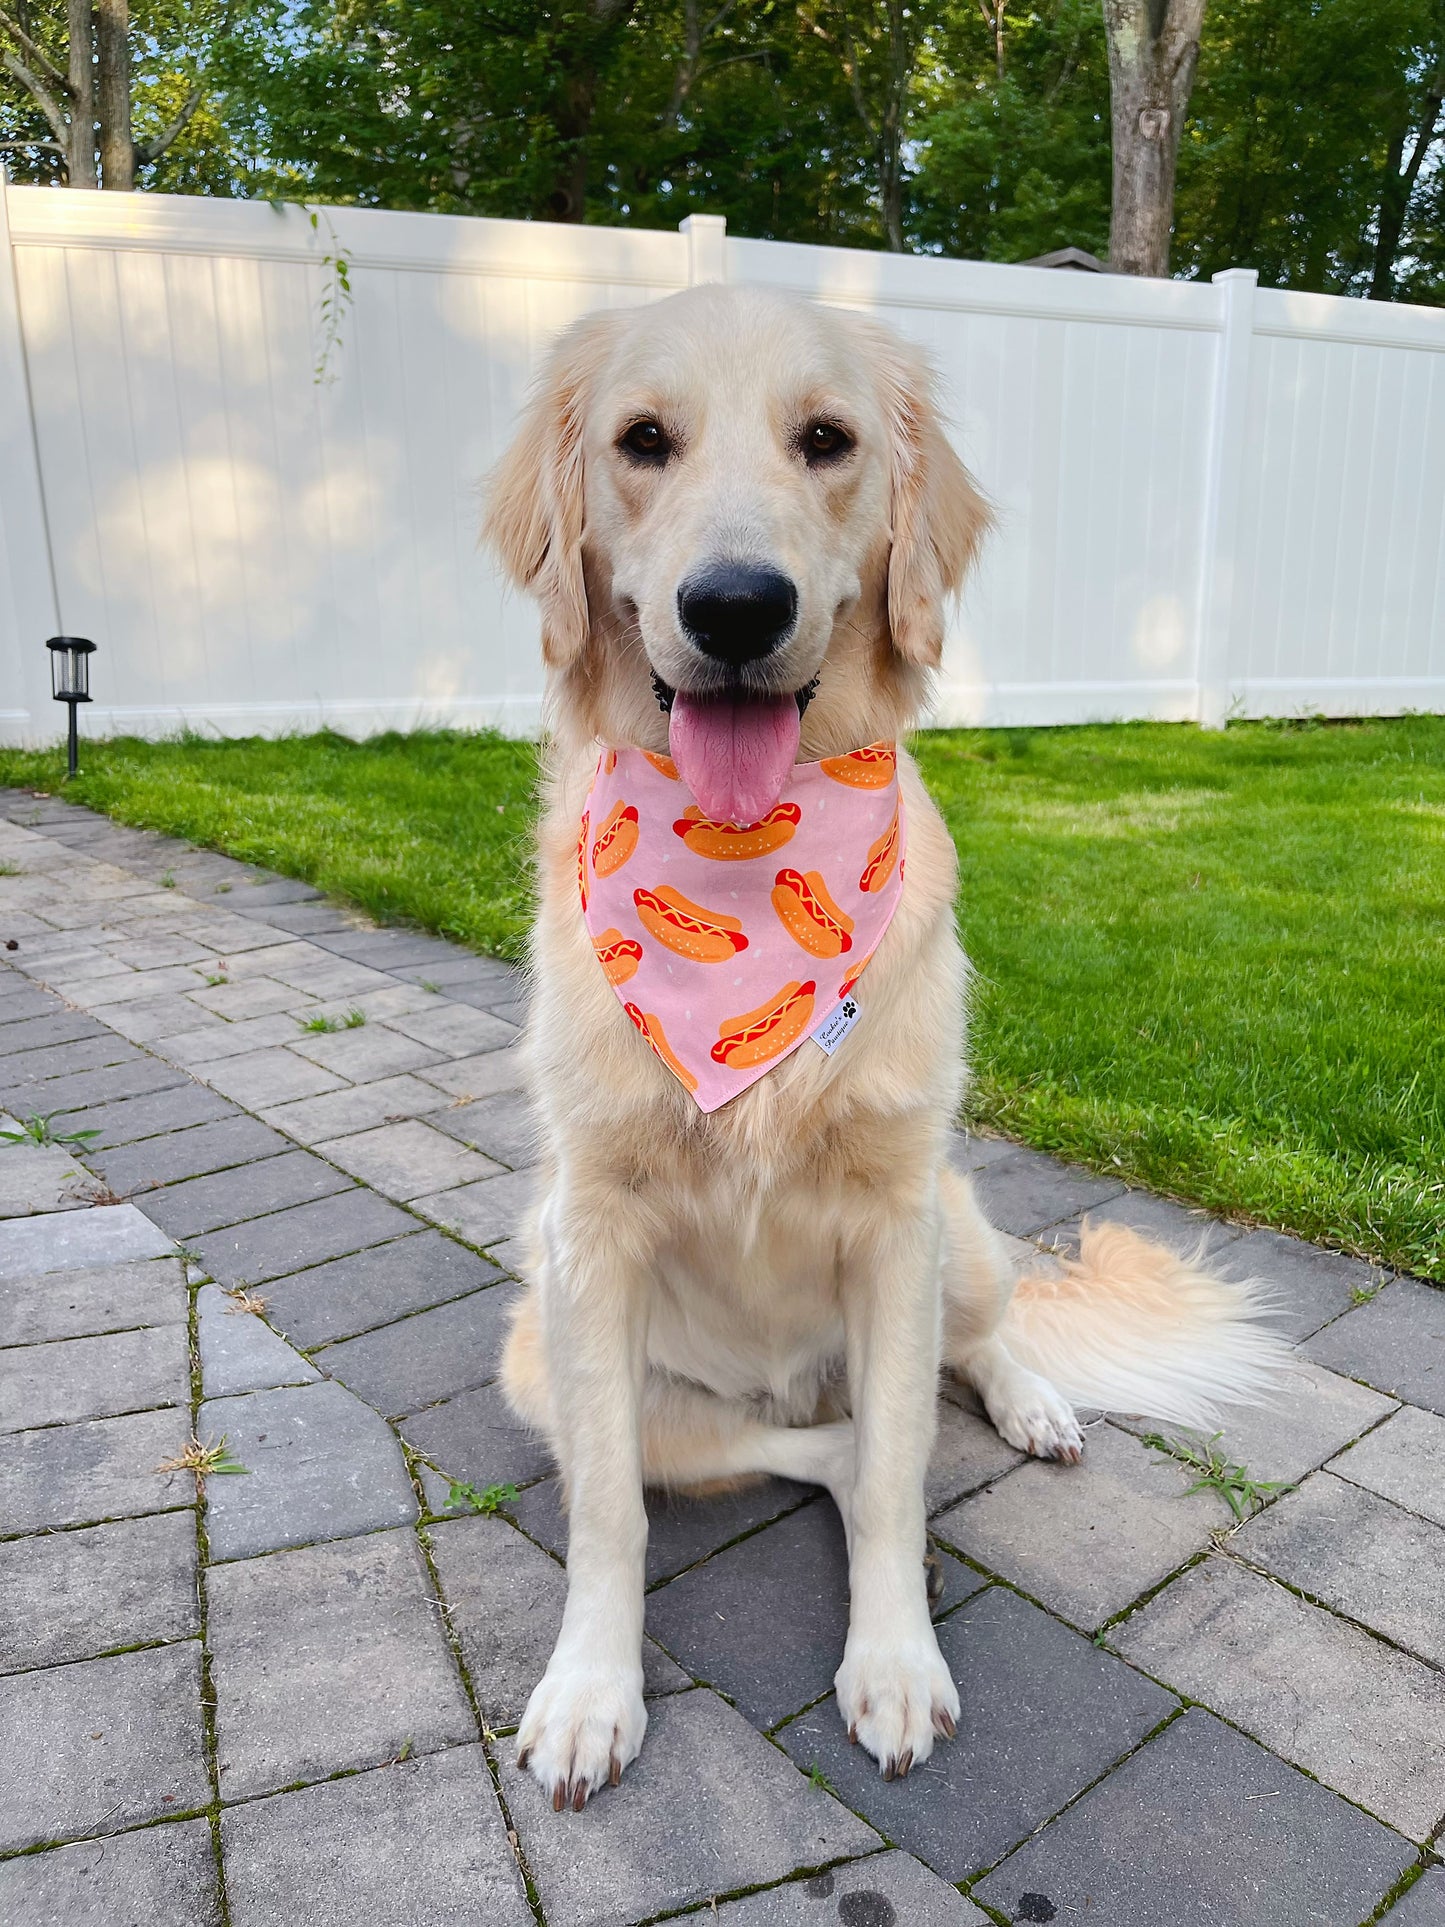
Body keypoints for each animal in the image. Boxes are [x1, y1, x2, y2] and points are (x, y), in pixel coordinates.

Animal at [489, 285, 1287, 1803]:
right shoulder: (587, 1235)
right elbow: (614, 1506)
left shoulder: (895, 1215)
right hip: (546, 1358)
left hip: (954, 1235)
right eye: (642, 440)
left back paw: (1028, 1405)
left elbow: (900, 1483)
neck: (745, 870)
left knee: (970, 1354)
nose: (736, 606)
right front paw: (588, 1688)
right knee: (811, 1441)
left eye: (825, 439)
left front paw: (895, 1663)